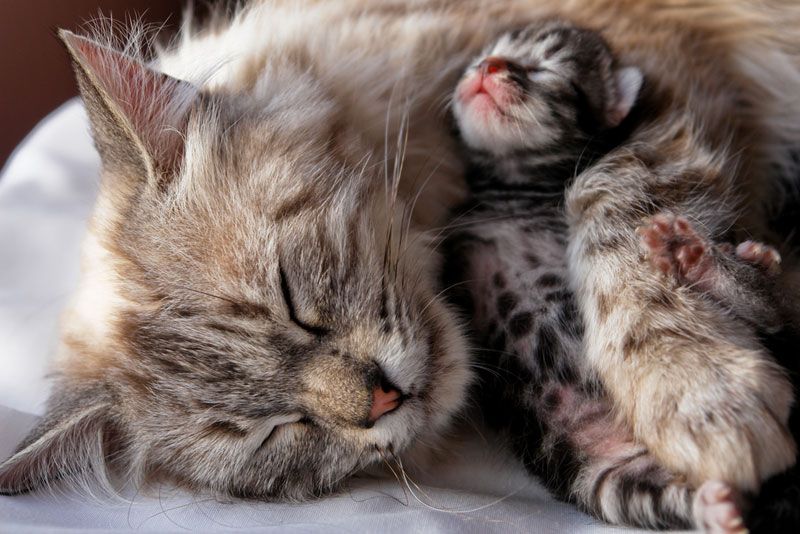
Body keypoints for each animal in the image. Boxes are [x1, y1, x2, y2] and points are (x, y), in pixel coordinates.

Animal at [446, 21, 780, 532]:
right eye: (488, 56)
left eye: (543, 68)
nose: (488, 66)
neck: (513, 185)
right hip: (610, 478)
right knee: (667, 498)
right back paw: (718, 507)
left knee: (772, 314)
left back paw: (707, 262)